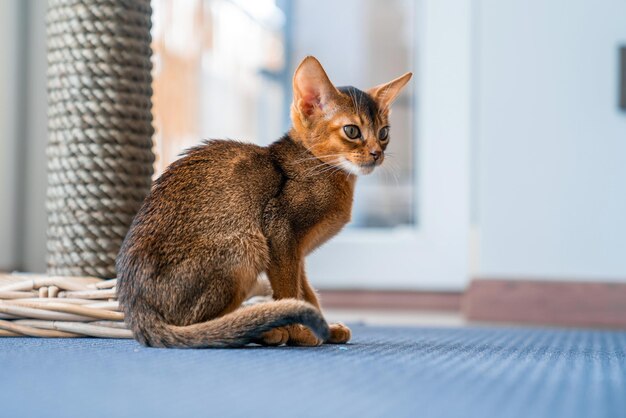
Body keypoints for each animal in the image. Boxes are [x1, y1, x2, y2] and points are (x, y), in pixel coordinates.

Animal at [116, 56, 410, 350]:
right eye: (352, 131)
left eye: (384, 133)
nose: (377, 153)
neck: (319, 166)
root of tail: (135, 307)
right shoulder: (280, 233)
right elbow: (289, 291)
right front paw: (300, 332)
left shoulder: (297, 254)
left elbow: (307, 292)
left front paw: (324, 327)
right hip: (248, 245)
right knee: (197, 326)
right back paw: (264, 330)